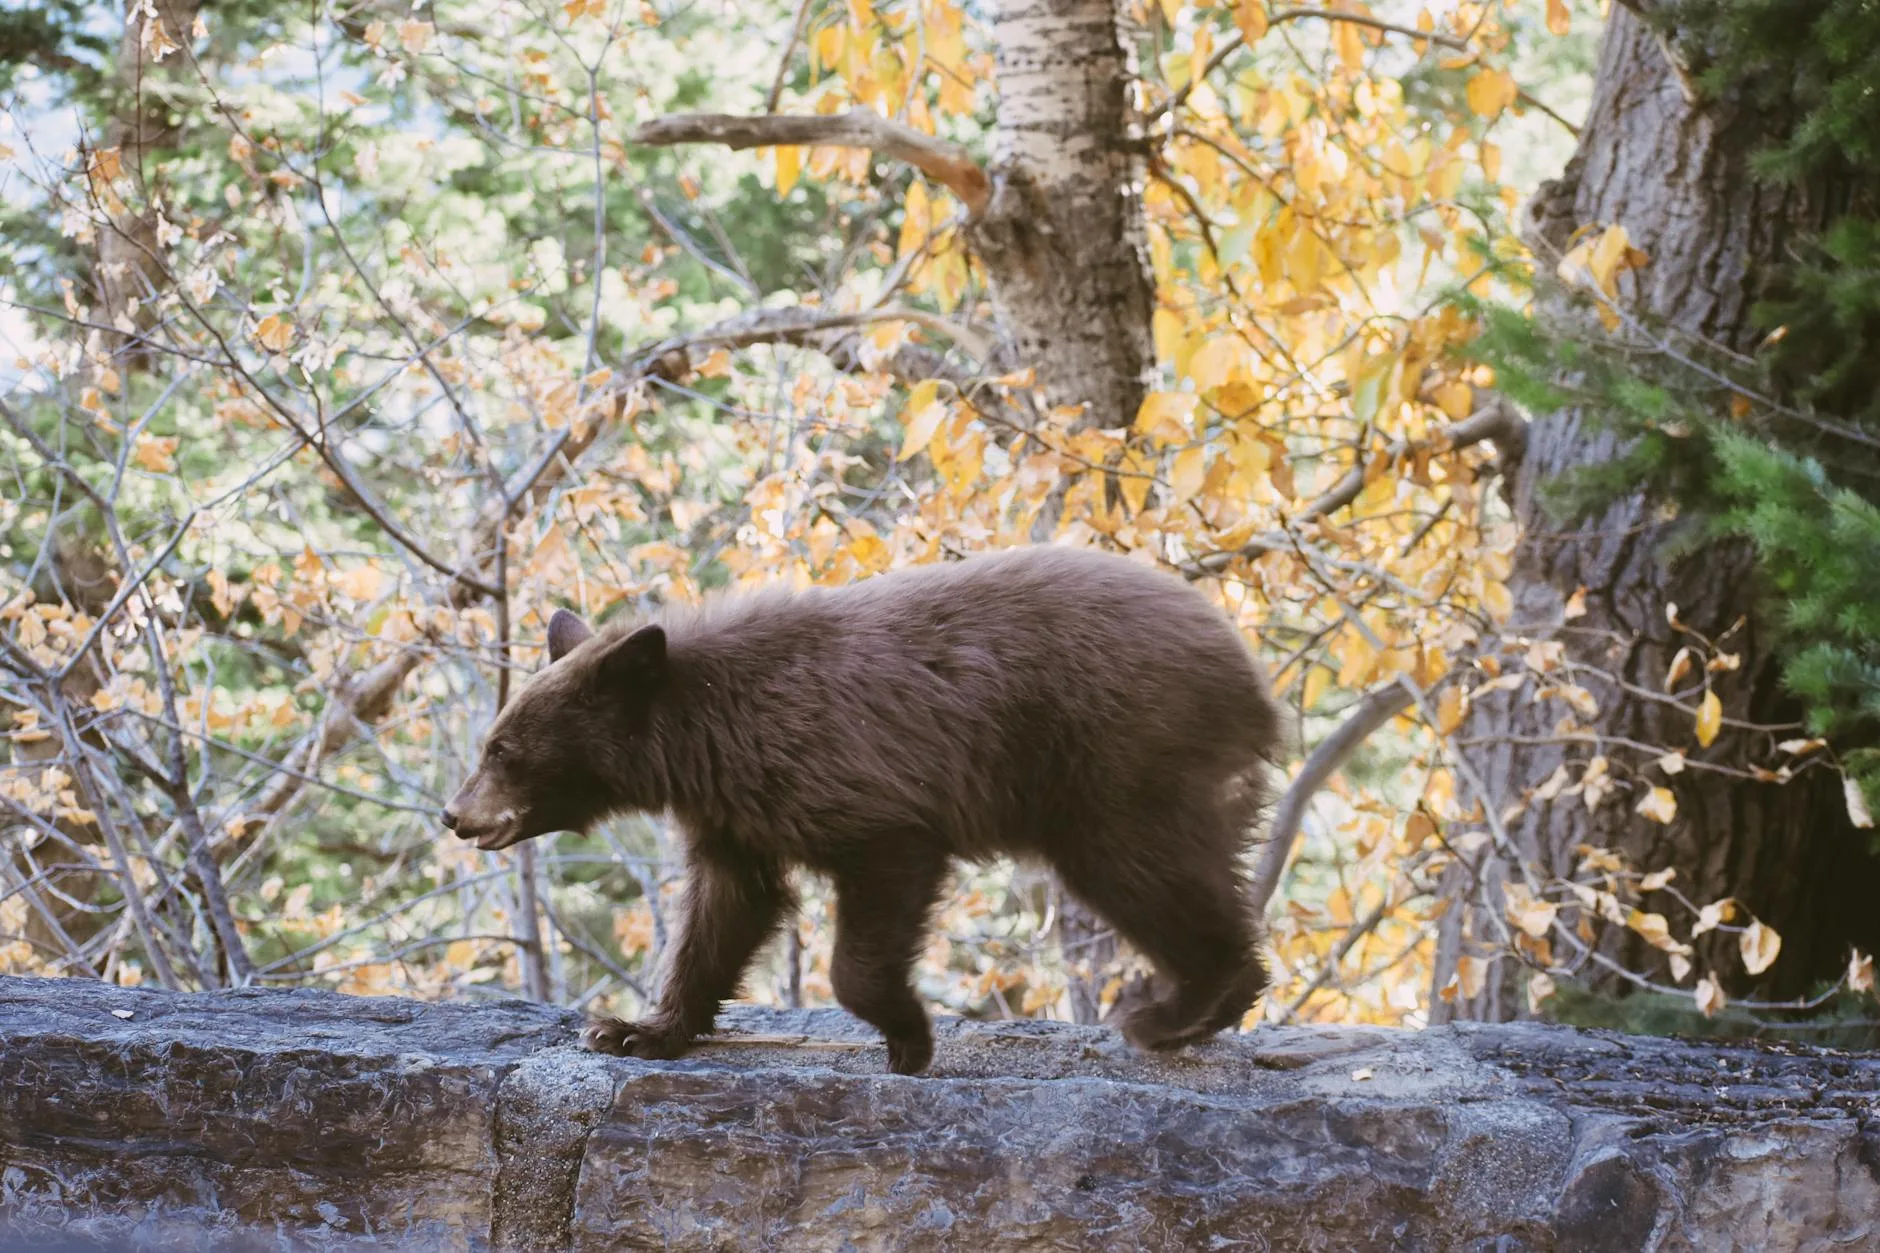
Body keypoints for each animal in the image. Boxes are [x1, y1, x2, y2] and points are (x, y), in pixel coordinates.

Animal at [442, 544, 1285, 1074]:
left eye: (503, 749)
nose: (454, 815)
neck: (703, 723)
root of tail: (1248, 672)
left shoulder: (852, 777)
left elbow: (878, 876)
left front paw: (908, 1036)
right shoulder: (732, 807)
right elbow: (727, 905)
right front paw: (634, 1029)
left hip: (1118, 758)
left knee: (1141, 867)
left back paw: (1179, 1009)